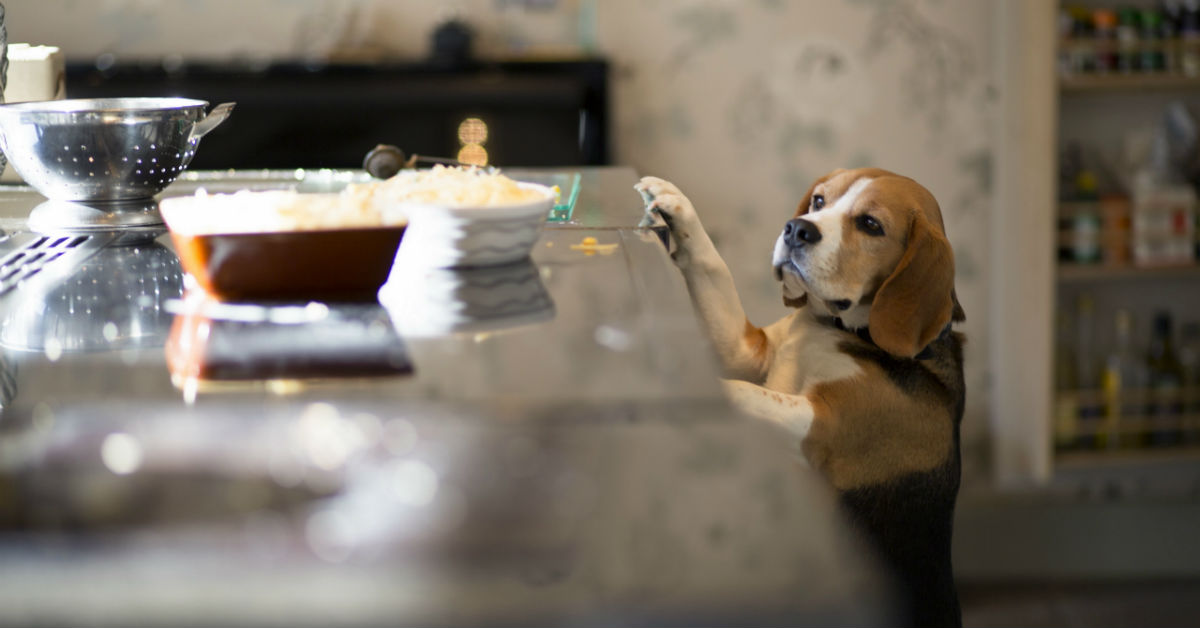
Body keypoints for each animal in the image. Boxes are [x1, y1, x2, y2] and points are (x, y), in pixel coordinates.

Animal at [638, 168, 964, 628]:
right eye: (819, 201)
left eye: (870, 225)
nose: (796, 229)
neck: (835, 327)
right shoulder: (745, 351)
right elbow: (713, 268)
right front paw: (674, 202)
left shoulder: (824, 426)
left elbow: (751, 394)